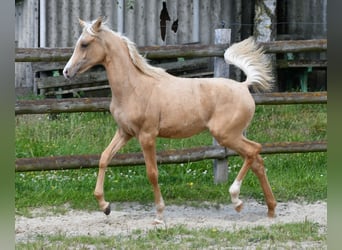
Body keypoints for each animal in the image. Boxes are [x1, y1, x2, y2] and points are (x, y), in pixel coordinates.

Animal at [63, 17, 278, 225]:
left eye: (84, 44)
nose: (66, 71)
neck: (134, 87)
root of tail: (243, 86)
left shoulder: (147, 136)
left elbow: (152, 173)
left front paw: (159, 215)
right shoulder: (125, 132)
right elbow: (104, 158)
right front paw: (105, 206)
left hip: (226, 135)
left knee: (254, 150)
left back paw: (237, 200)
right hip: (233, 135)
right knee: (257, 160)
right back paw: (270, 210)